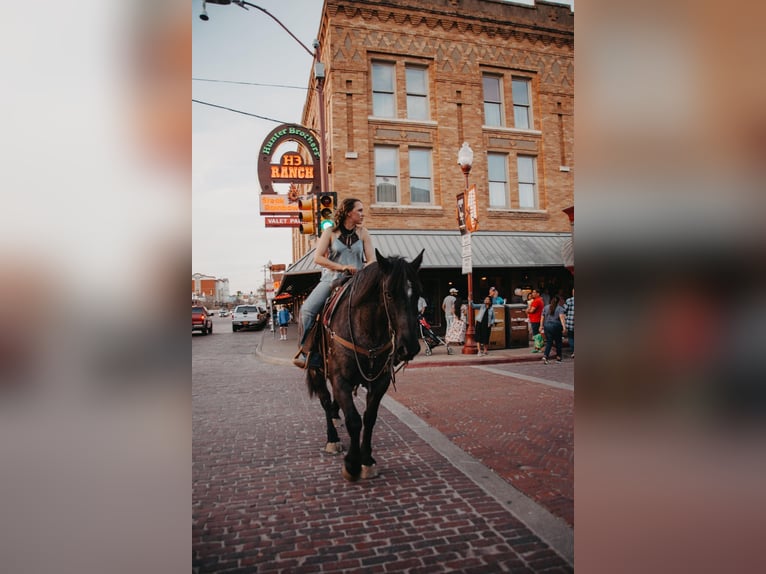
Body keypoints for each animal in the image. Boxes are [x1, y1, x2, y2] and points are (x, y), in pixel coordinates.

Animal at [306, 250, 426, 484]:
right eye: (389, 294)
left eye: (417, 293)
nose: (409, 347)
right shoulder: (340, 380)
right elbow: (354, 420)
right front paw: (352, 464)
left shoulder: (380, 381)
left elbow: (369, 418)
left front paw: (367, 460)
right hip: (317, 371)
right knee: (325, 401)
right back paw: (332, 439)